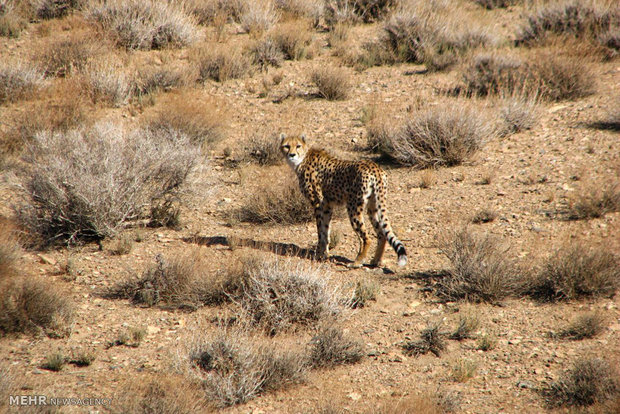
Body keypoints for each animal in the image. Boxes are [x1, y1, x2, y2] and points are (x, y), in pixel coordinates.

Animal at [280, 133, 406, 268]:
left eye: (298, 146)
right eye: (287, 146)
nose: (292, 155)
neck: (302, 159)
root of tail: (374, 167)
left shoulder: (318, 204)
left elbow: (320, 232)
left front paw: (319, 254)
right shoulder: (327, 206)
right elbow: (326, 230)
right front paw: (324, 254)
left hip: (353, 207)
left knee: (366, 238)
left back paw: (357, 261)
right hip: (373, 207)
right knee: (382, 234)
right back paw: (376, 261)